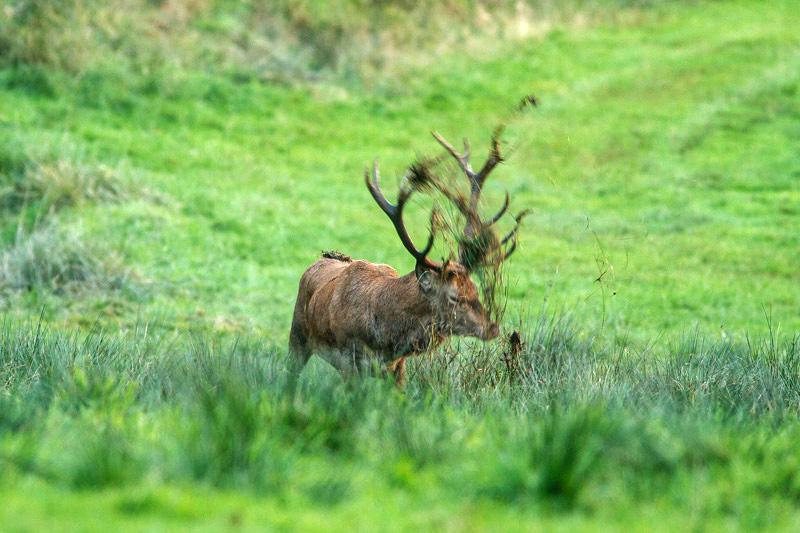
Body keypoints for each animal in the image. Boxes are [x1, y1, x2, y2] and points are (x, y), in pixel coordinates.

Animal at [290, 129, 524, 382]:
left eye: (475, 290)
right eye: (454, 297)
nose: (492, 327)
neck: (386, 336)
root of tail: (321, 259)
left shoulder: (397, 367)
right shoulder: (348, 361)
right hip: (297, 334)